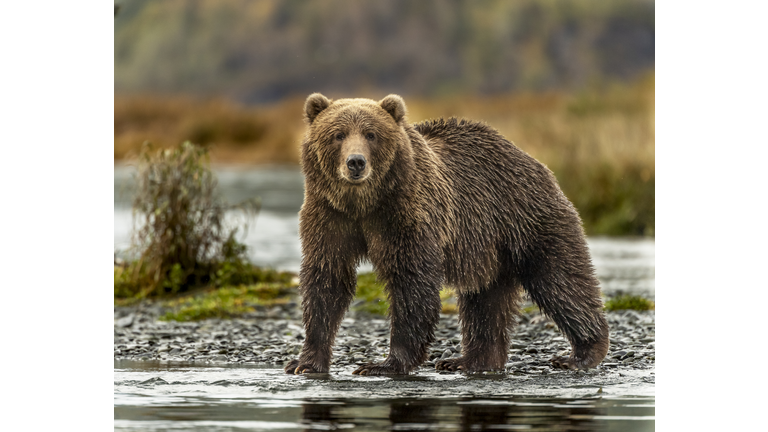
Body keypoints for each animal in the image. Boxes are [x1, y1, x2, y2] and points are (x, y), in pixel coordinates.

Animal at [284, 93, 608, 374]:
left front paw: (384, 364)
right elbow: (327, 279)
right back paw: (469, 360)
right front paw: (305, 362)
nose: (355, 162)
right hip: (487, 247)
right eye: (338, 134)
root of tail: (531, 159)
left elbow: (411, 281)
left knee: (560, 279)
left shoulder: (406, 214)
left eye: (371, 134)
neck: (364, 203)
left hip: (525, 217)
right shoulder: (329, 215)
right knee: (485, 299)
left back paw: (580, 353)